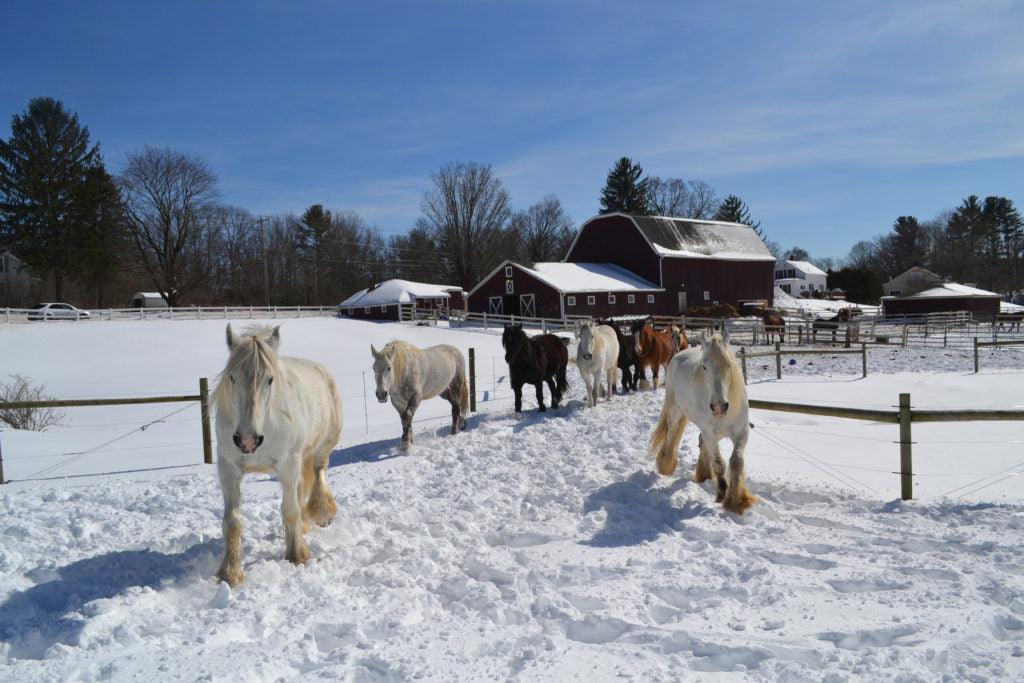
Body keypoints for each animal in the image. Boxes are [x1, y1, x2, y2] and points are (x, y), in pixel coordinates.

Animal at [211, 325, 344, 589]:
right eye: (233, 378)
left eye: (269, 379)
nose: (248, 440)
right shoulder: (228, 469)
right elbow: (232, 522)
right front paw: (230, 573)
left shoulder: (288, 466)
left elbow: (290, 509)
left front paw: (297, 556)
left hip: (322, 446)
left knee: (319, 471)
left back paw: (322, 512)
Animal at [647, 327, 753, 516]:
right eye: (704, 366)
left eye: (728, 364)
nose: (719, 407)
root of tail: (678, 354)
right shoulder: (710, 433)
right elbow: (719, 464)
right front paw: (721, 494)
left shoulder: (742, 432)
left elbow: (736, 462)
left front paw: (737, 501)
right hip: (675, 412)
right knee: (671, 436)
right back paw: (665, 466)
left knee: (701, 443)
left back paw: (703, 475)